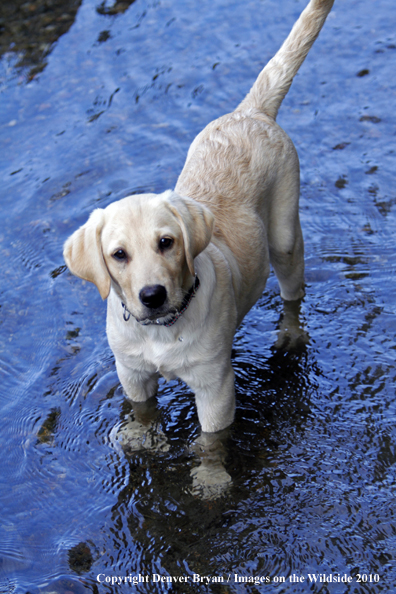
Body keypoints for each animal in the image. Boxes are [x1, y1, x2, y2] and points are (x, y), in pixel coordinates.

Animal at [64, 1, 334, 434]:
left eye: (167, 243)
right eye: (119, 255)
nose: (152, 296)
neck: (162, 331)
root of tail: (249, 111)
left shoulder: (215, 388)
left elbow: (211, 443)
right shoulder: (131, 374)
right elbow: (143, 415)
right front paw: (143, 439)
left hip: (285, 236)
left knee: (293, 294)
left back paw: (291, 337)